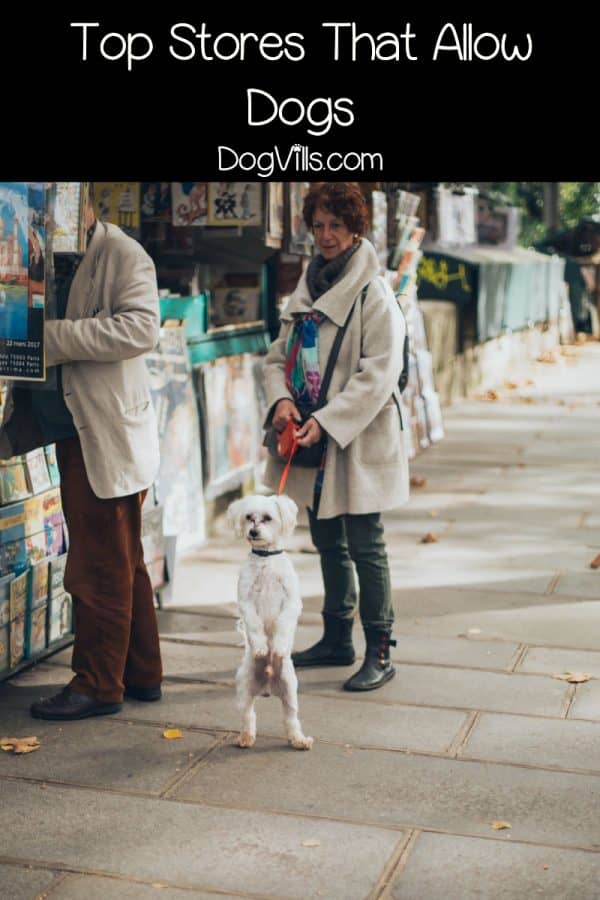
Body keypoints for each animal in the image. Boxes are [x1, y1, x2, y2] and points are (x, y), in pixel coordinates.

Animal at [226, 496, 314, 748]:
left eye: (267, 518)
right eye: (249, 517)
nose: (253, 531)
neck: (266, 559)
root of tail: (267, 686)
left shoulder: (291, 602)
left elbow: (283, 625)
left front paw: (279, 646)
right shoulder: (246, 601)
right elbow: (255, 625)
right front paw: (261, 647)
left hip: (290, 690)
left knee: (291, 718)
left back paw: (299, 740)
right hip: (244, 689)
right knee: (248, 715)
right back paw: (246, 737)